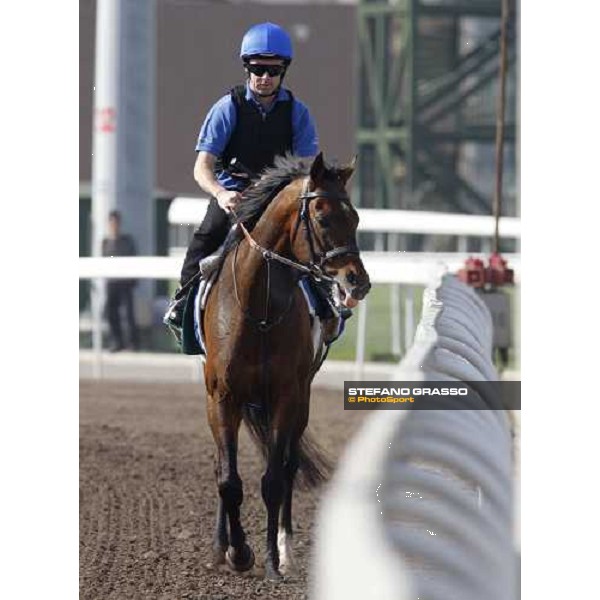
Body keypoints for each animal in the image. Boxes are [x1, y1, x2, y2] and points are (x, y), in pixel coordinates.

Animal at [202, 151, 370, 580]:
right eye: (324, 218)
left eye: (356, 218)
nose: (358, 282)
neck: (258, 311)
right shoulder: (222, 396)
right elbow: (228, 480)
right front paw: (235, 551)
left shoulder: (285, 396)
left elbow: (274, 480)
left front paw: (271, 562)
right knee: (223, 468)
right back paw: (220, 547)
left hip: (301, 400)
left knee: (290, 464)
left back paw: (285, 549)